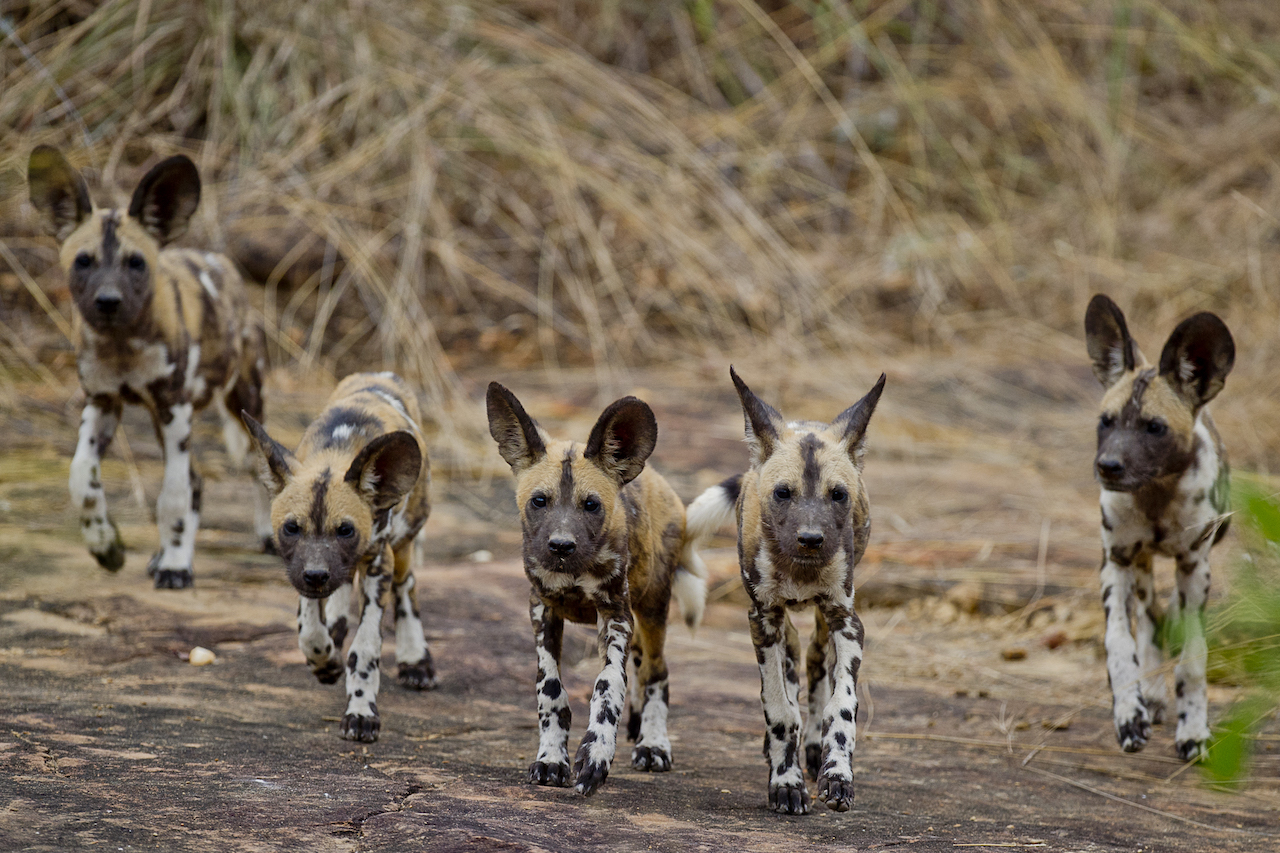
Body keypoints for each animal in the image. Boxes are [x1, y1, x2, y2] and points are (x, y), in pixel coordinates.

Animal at [29, 146, 272, 584]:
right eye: (83, 261)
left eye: (136, 263)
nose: (108, 301)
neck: (123, 344)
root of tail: (222, 263)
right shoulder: (102, 405)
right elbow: (81, 478)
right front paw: (106, 546)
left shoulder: (172, 408)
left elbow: (172, 496)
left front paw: (176, 567)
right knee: (196, 481)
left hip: (242, 405)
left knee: (249, 470)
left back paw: (264, 536)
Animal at [241, 371, 437, 737]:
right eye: (291, 528)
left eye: (345, 530)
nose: (317, 575)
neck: (336, 453)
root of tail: (380, 374)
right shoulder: (300, 571)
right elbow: (309, 632)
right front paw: (324, 661)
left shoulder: (378, 562)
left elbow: (365, 649)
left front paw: (361, 712)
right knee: (340, 594)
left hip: (402, 544)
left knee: (406, 586)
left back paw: (415, 659)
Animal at [486, 381, 716, 794]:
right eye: (539, 501)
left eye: (591, 505)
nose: (561, 546)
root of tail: (658, 479)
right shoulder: (542, 608)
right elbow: (550, 689)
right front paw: (551, 758)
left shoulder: (615, 615)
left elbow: (608, 685)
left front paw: (596, 755)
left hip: (653, 610)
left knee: (657, 673)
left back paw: (653, 744)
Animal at [686, 366, 885, 809]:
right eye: (783, 493)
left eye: (838, 495)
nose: (811, 539)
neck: (801, 570)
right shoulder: (763, 619)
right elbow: (778, 708)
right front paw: (786, 781)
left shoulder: (846, 620)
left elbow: (841, 706)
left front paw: (837, 774)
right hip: (779, 623)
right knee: (791, 665)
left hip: (825, 619)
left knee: (813, 661)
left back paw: (812, 747)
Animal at [1085, 294, 1233, 758]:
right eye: (1106, 421)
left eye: (1155, 427)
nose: (1108, 466)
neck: (1155, 497)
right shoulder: (1115, 562)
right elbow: (1119, 644)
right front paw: (1129, 714)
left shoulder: (1194, 567)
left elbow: (1193, 658)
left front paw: (1194, 729)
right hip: (1139, 566)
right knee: (1149, 619)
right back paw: (1148, 694)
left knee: (1166, 618)